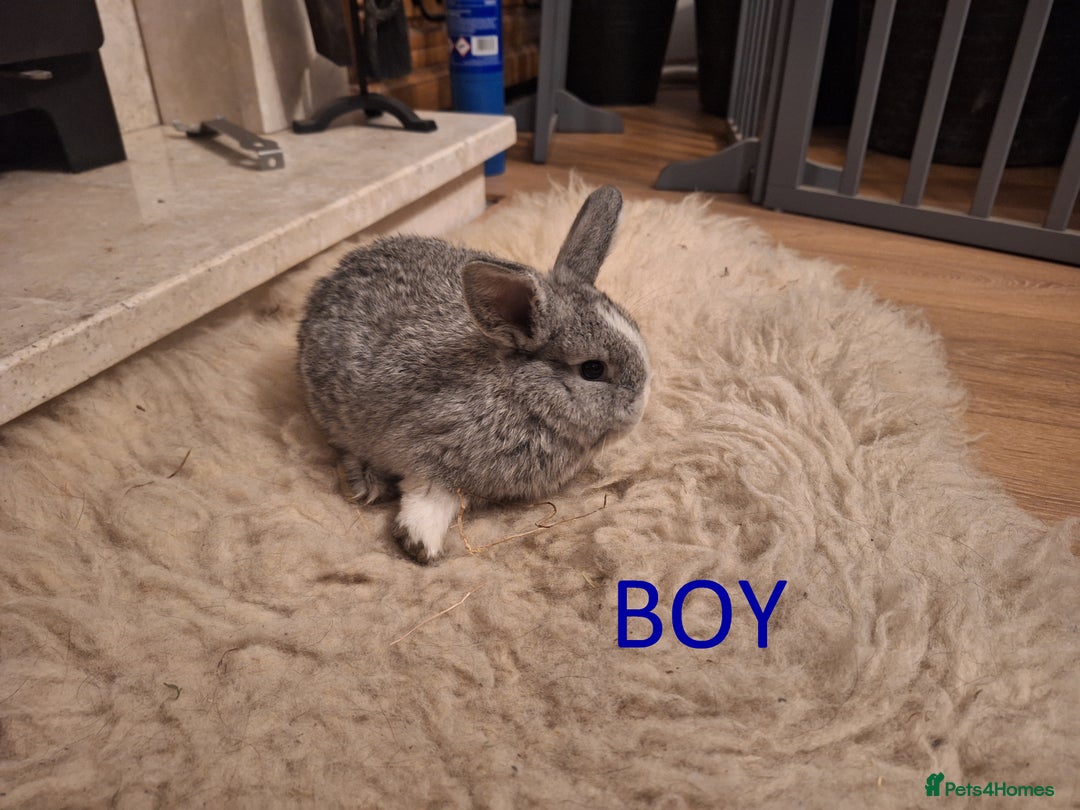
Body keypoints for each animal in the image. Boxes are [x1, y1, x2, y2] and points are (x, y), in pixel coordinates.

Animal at [297, 185, 649, 563]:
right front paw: (421, 543)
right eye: (593, 369)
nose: (639, 411)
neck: (519, 395)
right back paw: (367, 482)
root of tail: (330, 279)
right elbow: (431, 496)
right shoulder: (430, 452)